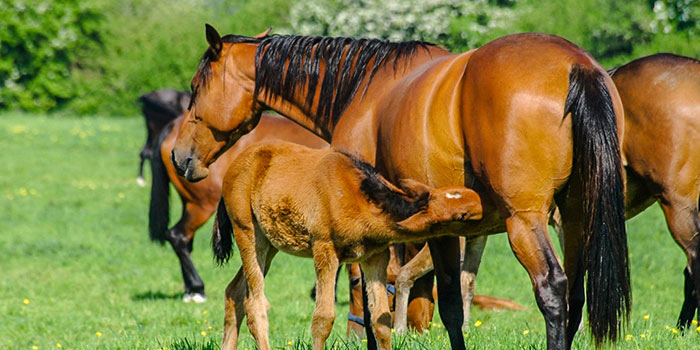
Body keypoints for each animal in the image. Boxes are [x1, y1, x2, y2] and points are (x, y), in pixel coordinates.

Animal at [148, 111, 328, 300]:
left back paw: (190, 289)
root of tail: (173, 126)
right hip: (202, 205)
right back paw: (197, 288)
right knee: (178, 236)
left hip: (190, 203)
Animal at [211, 140, 482, 350]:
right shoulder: (324, 250)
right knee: (254, 303)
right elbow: (323, 318)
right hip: (248, 233)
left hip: (269, 245)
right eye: (461, 216)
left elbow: (381, 320)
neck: (358, 197)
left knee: (234, 293)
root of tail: (232, 168)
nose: (482, 207)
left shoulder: (374, 256)